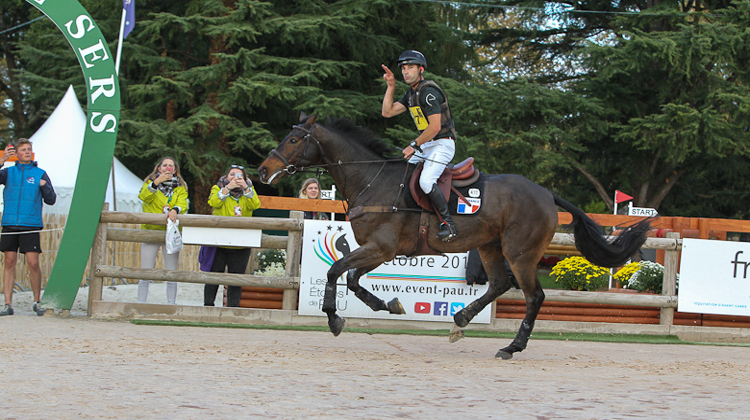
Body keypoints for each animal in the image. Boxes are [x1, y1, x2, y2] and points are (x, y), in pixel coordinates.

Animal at [258, 113, 652, 360]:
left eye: (294, 139)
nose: (263, 170)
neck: (373, 180)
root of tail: (544, 192)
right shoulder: (379, 250)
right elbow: (351, 279)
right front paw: (388, 305)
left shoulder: (380, 248)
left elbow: (335, 271)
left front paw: (334, 319)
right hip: (490, 246)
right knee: (499, 284)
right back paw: (461, 320)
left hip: (520, 252)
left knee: (533, 296)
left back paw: (512, 347)